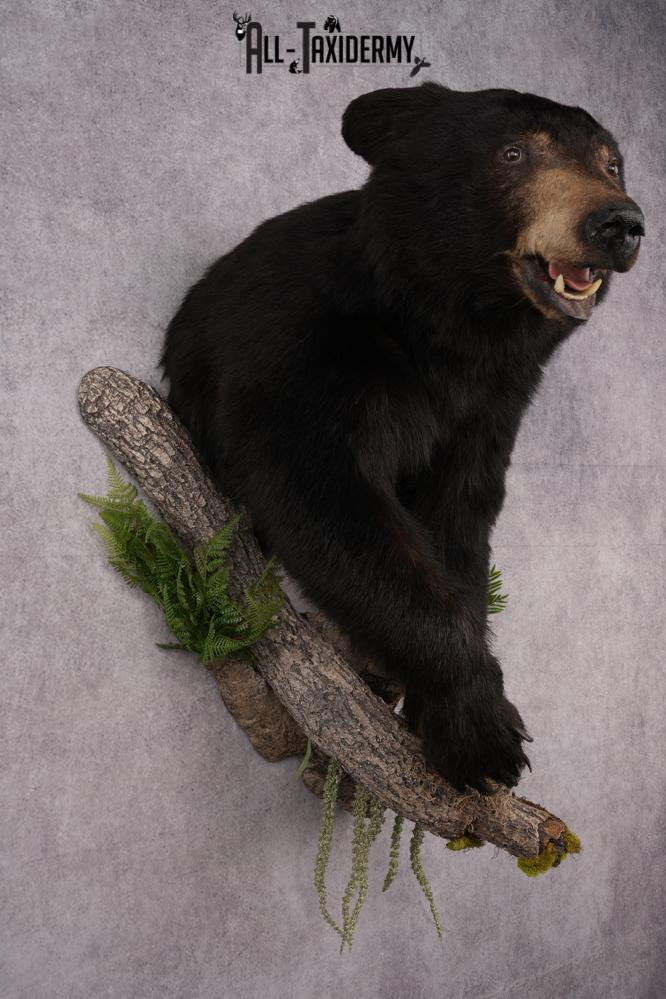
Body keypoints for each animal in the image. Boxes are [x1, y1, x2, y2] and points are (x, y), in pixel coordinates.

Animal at [160, 83, 644, 793]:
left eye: (612, 163)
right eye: (515, 152)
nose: (619, 224)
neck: (444, 331)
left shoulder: (489, 407)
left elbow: (458, 520)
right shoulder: (299, 350)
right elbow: (319, 496)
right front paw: (482, 730)